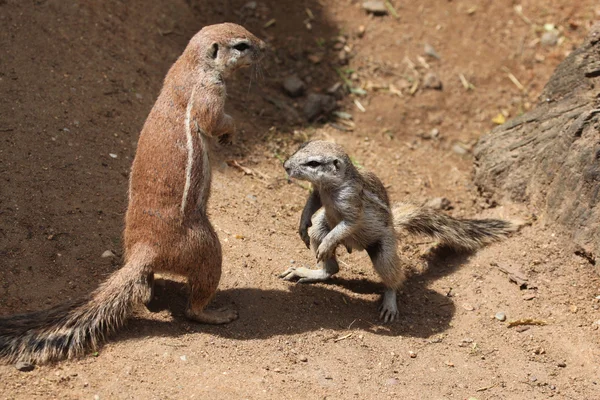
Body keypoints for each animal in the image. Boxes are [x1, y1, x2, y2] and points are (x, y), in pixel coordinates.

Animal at [0, 23, 266, 364]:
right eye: (242, 45)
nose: (265, 46)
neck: (190, 65)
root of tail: (144, 249)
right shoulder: (209, 93)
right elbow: (215, 120)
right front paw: (229, 132)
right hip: (206, 247)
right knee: (193, 305)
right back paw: (216, 313)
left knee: (146, 289)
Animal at [280, 141, 516, 322]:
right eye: (301, 147)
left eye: (313, 163)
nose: (286, 166)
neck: (330, 187)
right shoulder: (317, 192)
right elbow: (311, 204)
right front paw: (302, 224)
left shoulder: (351, 202)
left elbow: (349, 223)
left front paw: (328, 242)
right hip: (322, 227)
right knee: (331, 264)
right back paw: (311, 271)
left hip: (384, 249)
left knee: (393, 278)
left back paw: (389, 302)